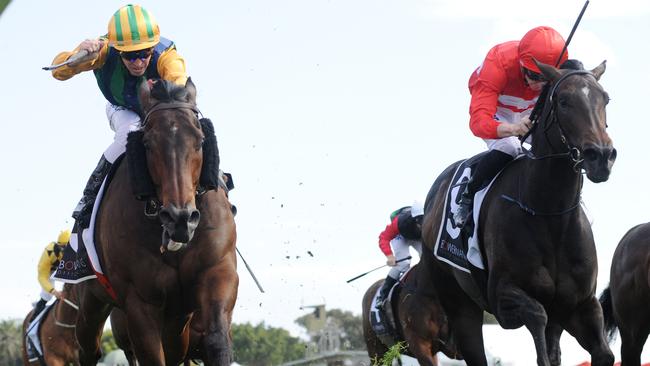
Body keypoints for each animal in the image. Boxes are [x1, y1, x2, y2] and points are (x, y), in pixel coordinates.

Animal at [72, 79, 238, 366]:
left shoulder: (218, 272)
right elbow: (150, 355)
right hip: (91, 299)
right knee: (88, 348)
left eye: (200, 140)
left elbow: (217, 341)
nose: (180, 218)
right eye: (148, 144)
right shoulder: (139, 301)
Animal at [420, 60, 612, 366]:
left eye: (605, 98)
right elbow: (536, 317)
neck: (550, 213)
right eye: (563, 101)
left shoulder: (581, 304)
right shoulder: (502, 297)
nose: (601, 156)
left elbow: (603, 354)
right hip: (457, 301)